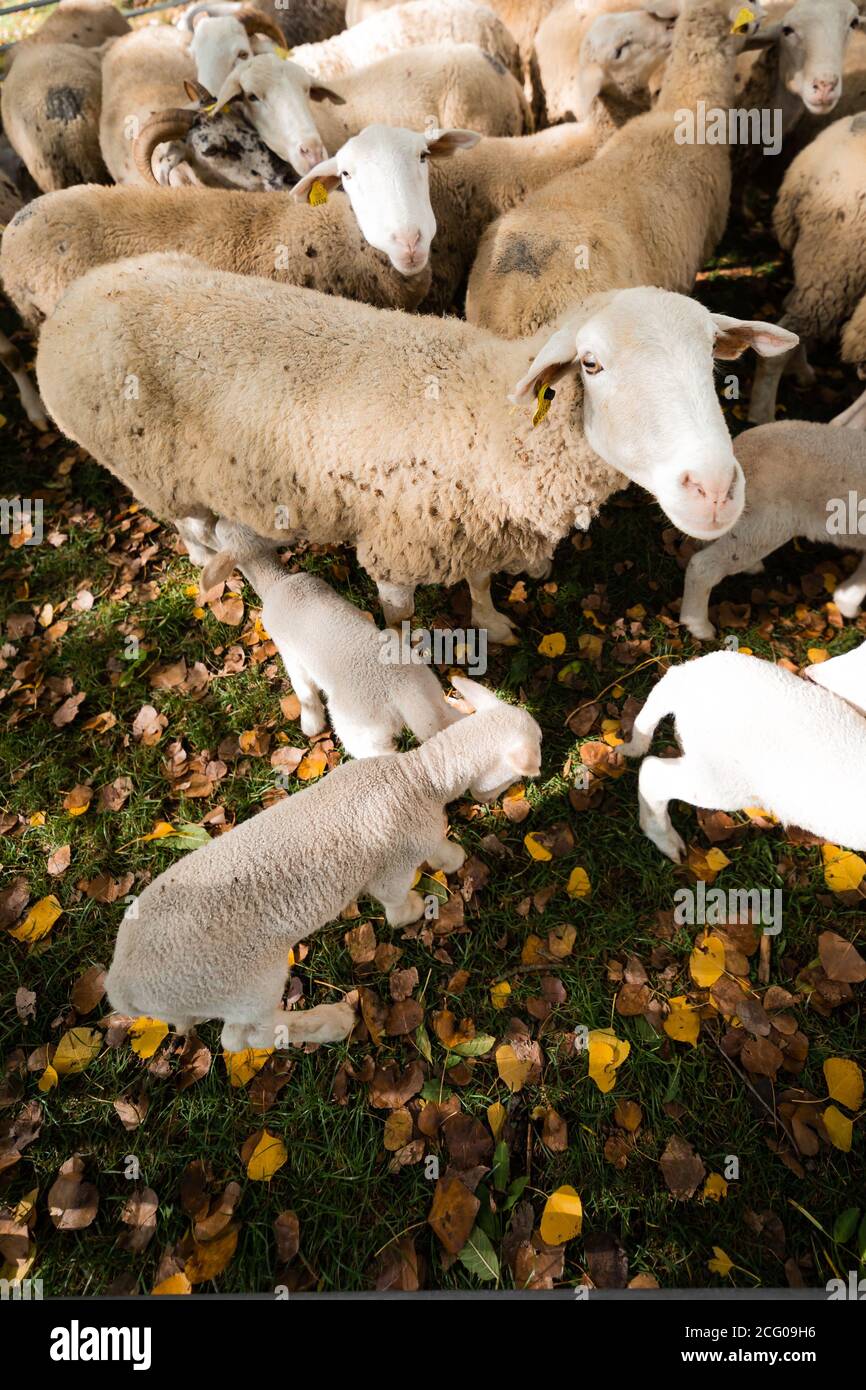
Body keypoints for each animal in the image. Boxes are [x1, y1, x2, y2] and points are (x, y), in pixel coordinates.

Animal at [35, 257, 796, 638]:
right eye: (591, 365)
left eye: (712, 356)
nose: (715, 490)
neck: (483, 415)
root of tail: (80, 292)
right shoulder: (396, 547)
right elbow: (399, 616)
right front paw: (410, 655)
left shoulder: (474, 525)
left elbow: (481, 581)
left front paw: (492, 623)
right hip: (149, 472)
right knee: (191, 527)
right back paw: (211, 568)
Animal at [104, 677, 542, 1048]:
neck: (418, 778)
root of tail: (121, 988)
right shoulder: (393, 866)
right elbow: (397, 903)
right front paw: (421, 903)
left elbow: (437, 845)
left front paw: (449, 858)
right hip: (242, 987)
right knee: (244, 1038)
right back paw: (332, 1022)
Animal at [194, 517, 462, 755]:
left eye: (219, 531)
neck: (276, 580)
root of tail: (406, 697)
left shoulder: (289, 653)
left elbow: (304, 692)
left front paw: (311, 725)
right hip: (434, 697)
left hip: (362, 731)